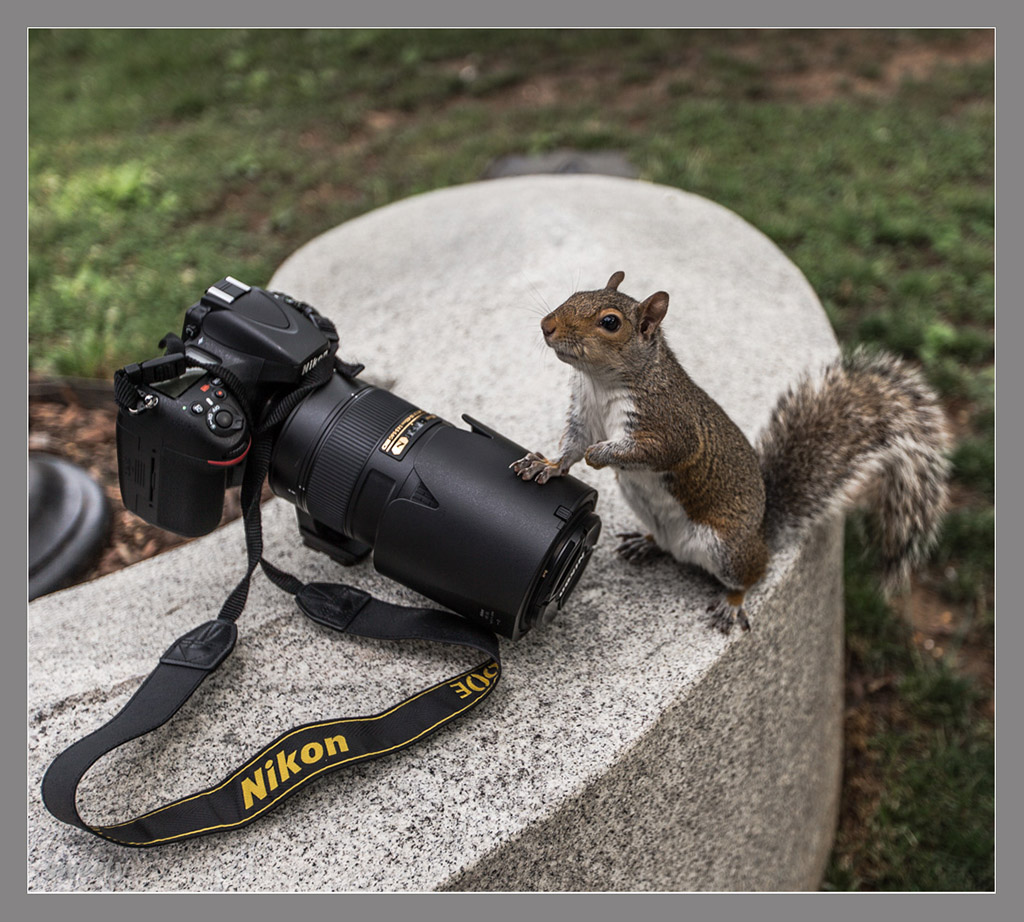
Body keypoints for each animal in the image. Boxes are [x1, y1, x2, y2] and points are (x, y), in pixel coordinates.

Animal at [512, 272, 950, 635]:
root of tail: (761, 532)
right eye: (575, 294)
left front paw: (601, 456)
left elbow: (648, 452)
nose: (546, 325)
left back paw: (732, 602)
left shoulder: (671, 429)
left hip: (727, 550)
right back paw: (647, 542)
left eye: (610, 323)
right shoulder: (584, 413)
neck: (602, 383)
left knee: (755, 573)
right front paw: (546, 466)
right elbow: (570, 446)